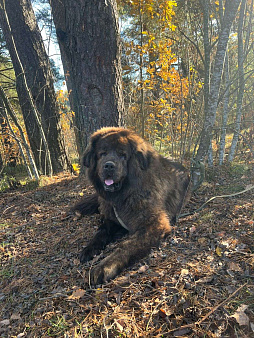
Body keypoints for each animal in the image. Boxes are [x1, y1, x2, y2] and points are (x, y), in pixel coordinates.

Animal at [74, 128, 190, 284]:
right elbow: (101, 231)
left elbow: (126, 246)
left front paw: (105, 267)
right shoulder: (113, 219)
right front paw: (90, 248)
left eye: (122, 155)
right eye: (102, 153)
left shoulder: (154, 225)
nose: (109, 165)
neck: (123, 196)